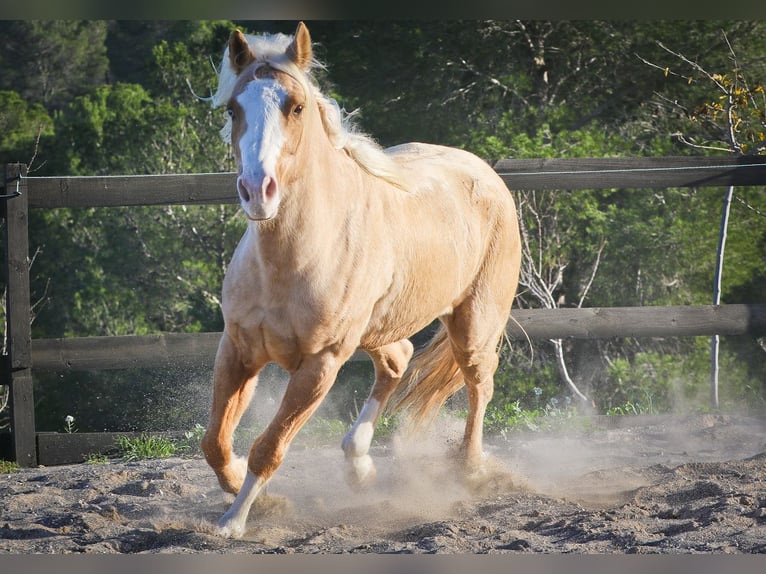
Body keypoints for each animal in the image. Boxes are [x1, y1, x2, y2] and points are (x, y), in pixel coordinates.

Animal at [200, 21, 520, 540]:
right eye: (233, 108)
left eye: (296, 106)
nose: (257, 192)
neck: (289, 262)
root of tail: (484, 171)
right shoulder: (239, 349)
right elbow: (215, 442)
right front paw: (248, 499)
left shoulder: (320, 364)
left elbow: (269, 448)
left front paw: (235, 522)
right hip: (379, 327)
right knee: (398, 359)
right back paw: (359, 464)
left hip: (473, 325)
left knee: (479, 382)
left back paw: (470, 469)